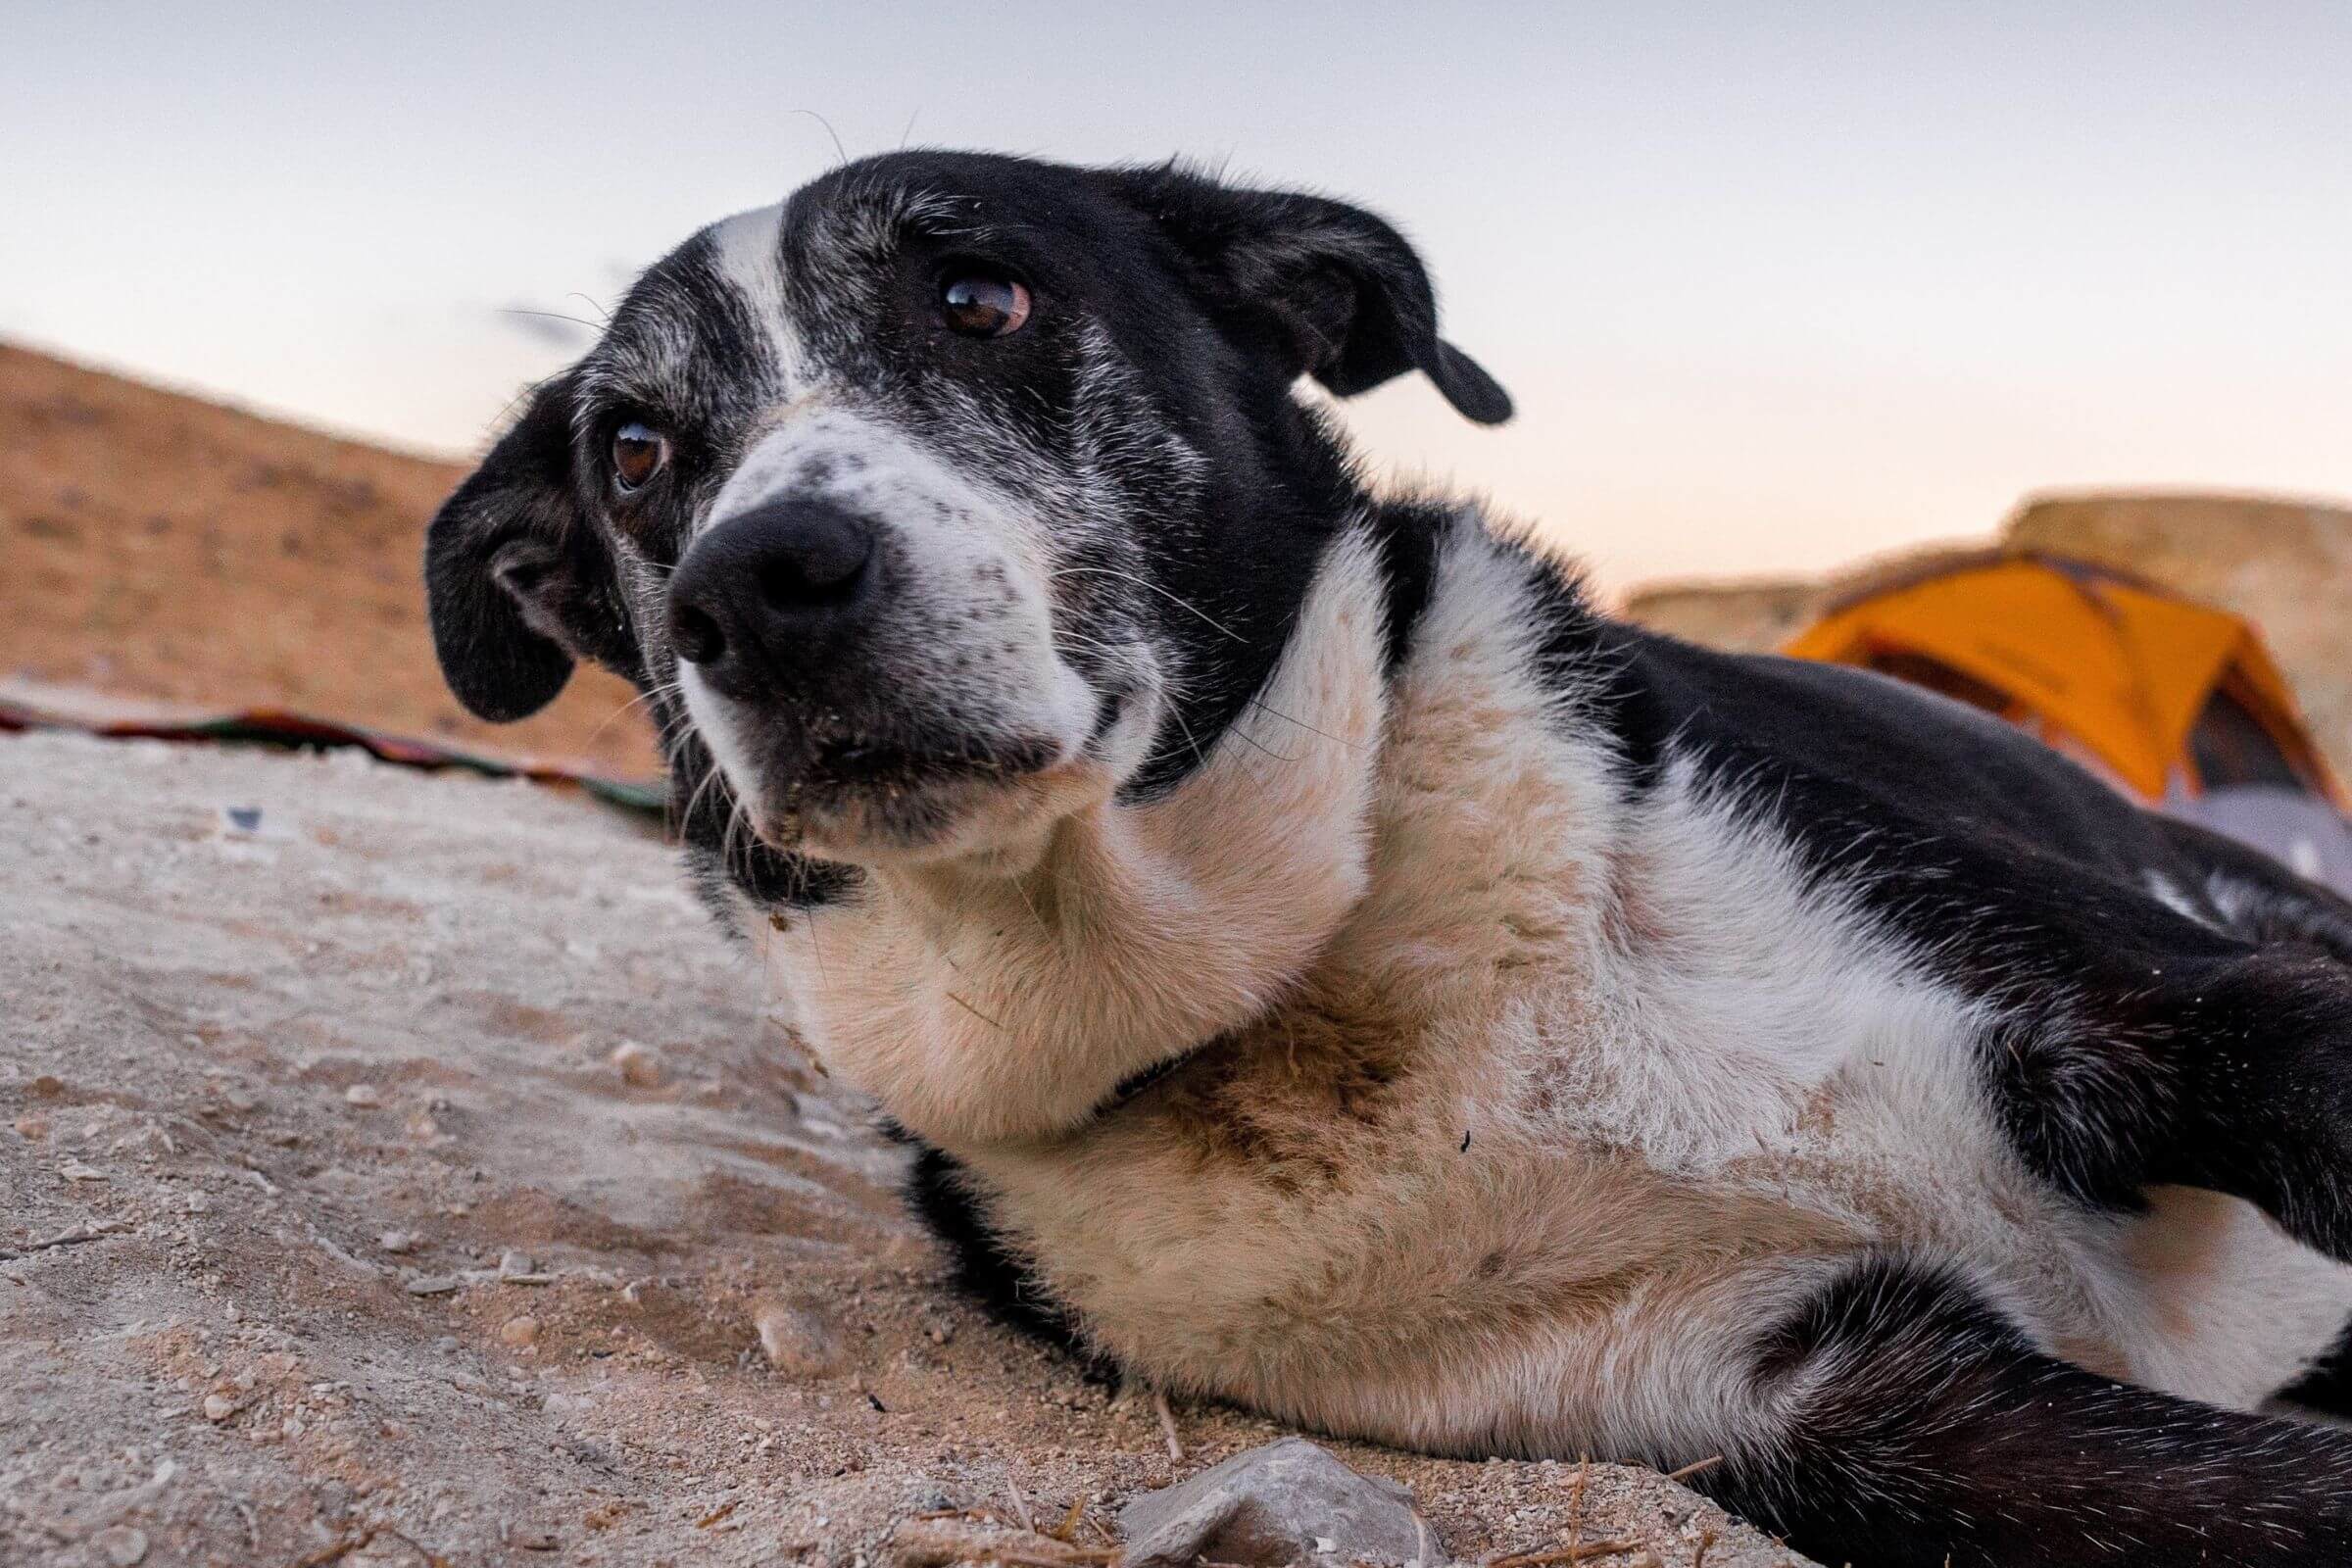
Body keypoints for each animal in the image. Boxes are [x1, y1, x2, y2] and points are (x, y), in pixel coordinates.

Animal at [427, 150, 2352, 1568]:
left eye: (980, 297)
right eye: (637, 452)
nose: (753, 586)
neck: (1323, 985)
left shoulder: (2173, 1005)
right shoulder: (1831, 1393)